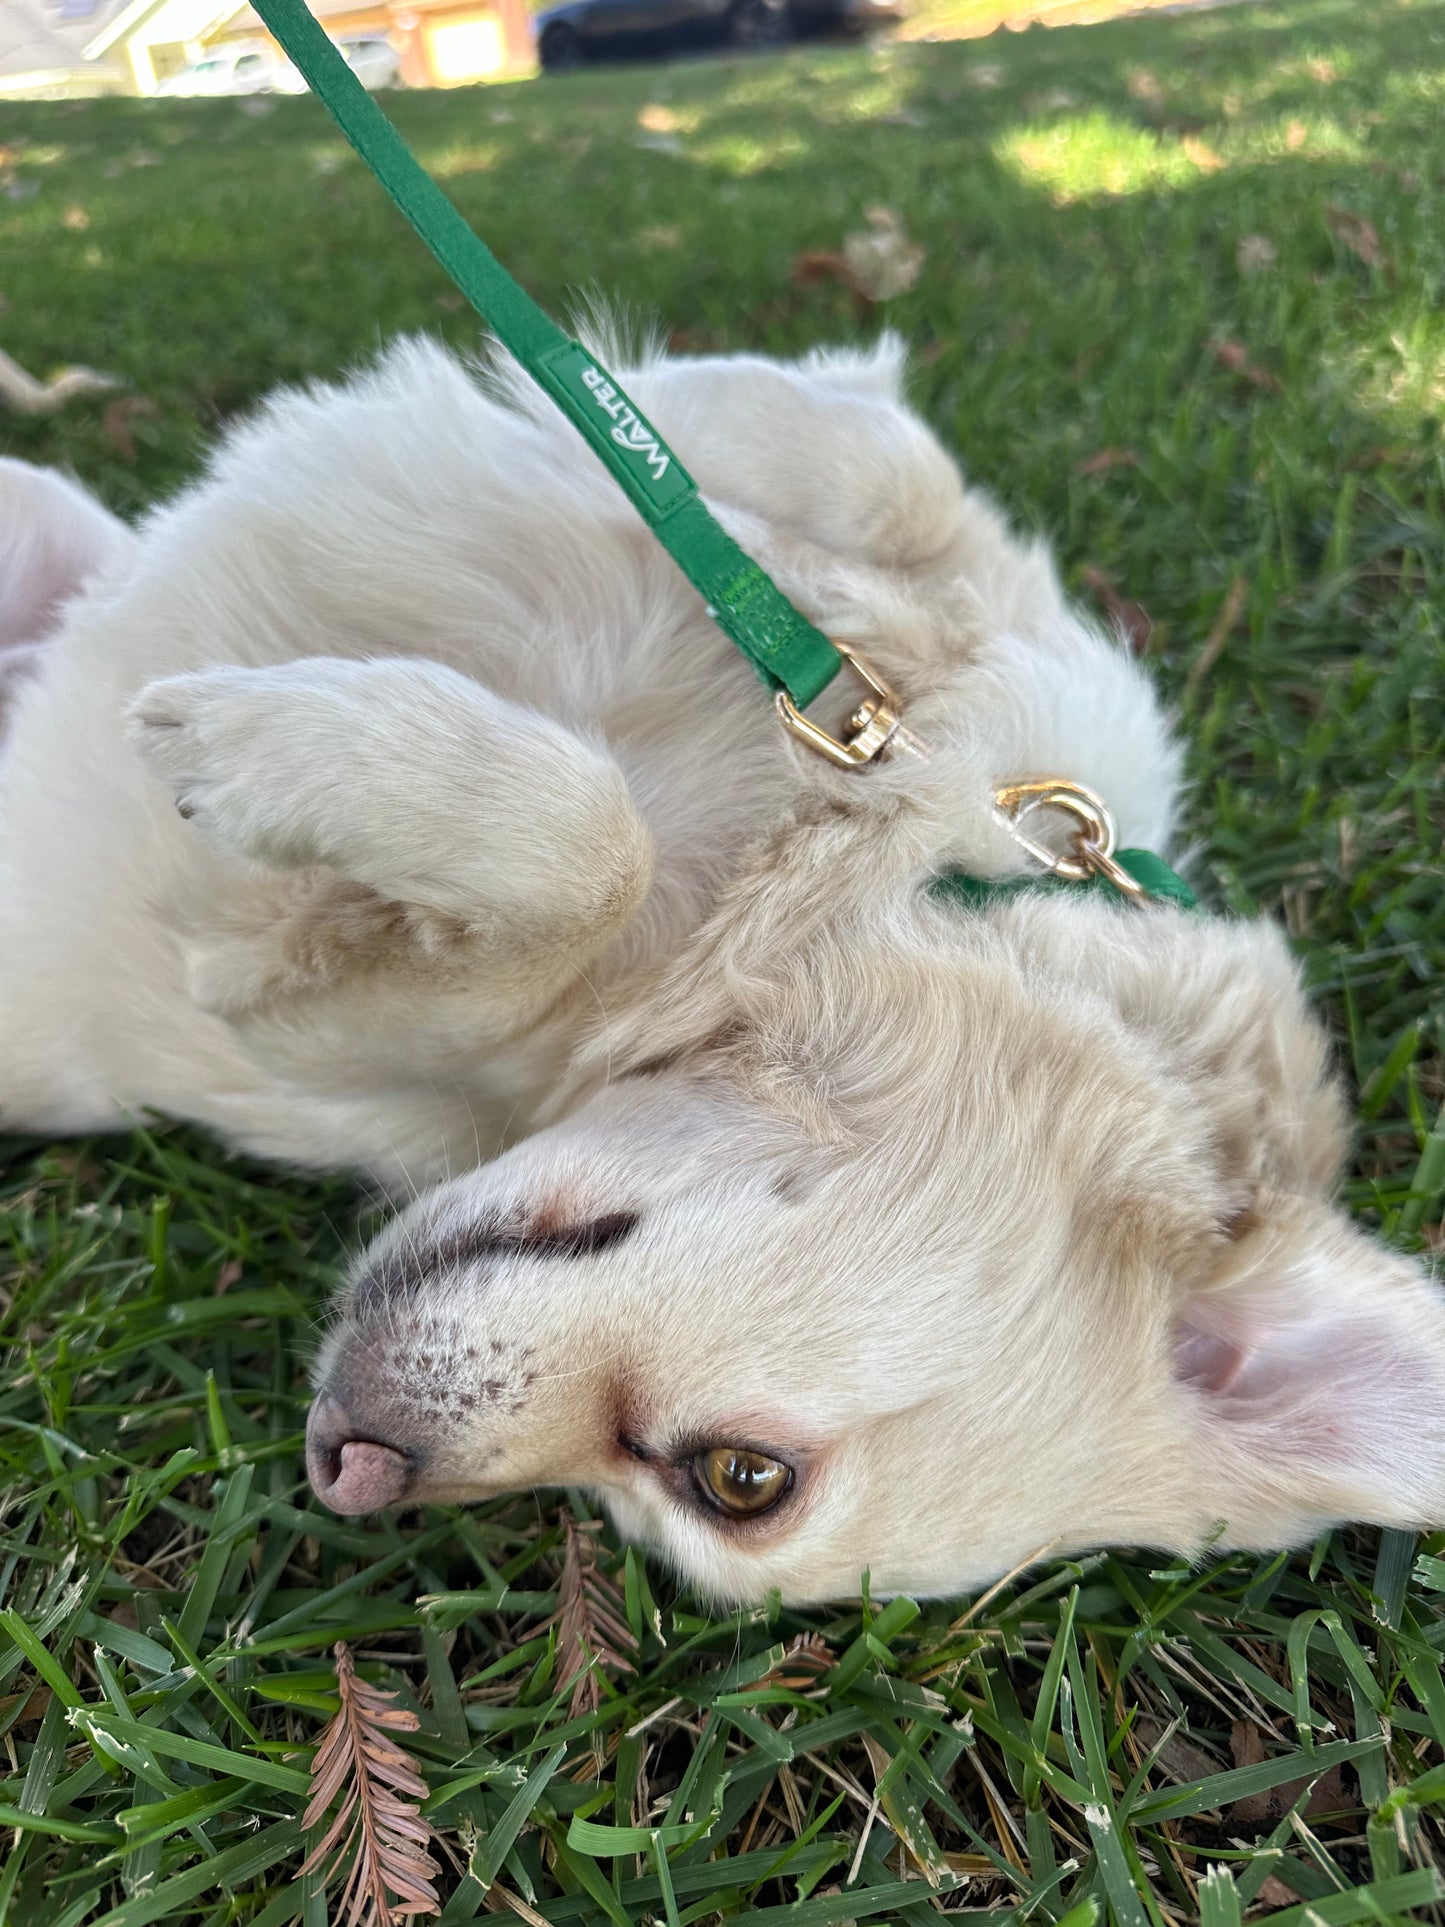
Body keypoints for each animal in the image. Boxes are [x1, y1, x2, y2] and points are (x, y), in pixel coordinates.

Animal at [5, 335, 1441, 1610]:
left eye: (736, 1481)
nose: (347, 1465)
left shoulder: (305, 1009)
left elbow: (585, 851)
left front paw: (267, 753)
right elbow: (874, 460)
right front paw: (656, 426)